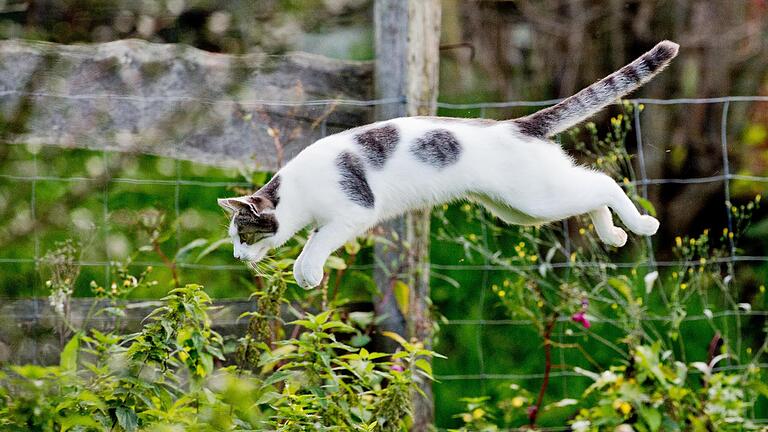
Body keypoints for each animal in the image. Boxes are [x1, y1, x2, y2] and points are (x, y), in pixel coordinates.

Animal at [218, 41, 680, 290]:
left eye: (244, 234)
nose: (238, 256)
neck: (298, 192)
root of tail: (517, 124)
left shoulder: (353, 212)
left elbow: (314, 245)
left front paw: (307, 272)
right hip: (522, 208)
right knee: (591, 190)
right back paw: (615, 235)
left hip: (536, 199)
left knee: (604, 183)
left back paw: (642, 225)